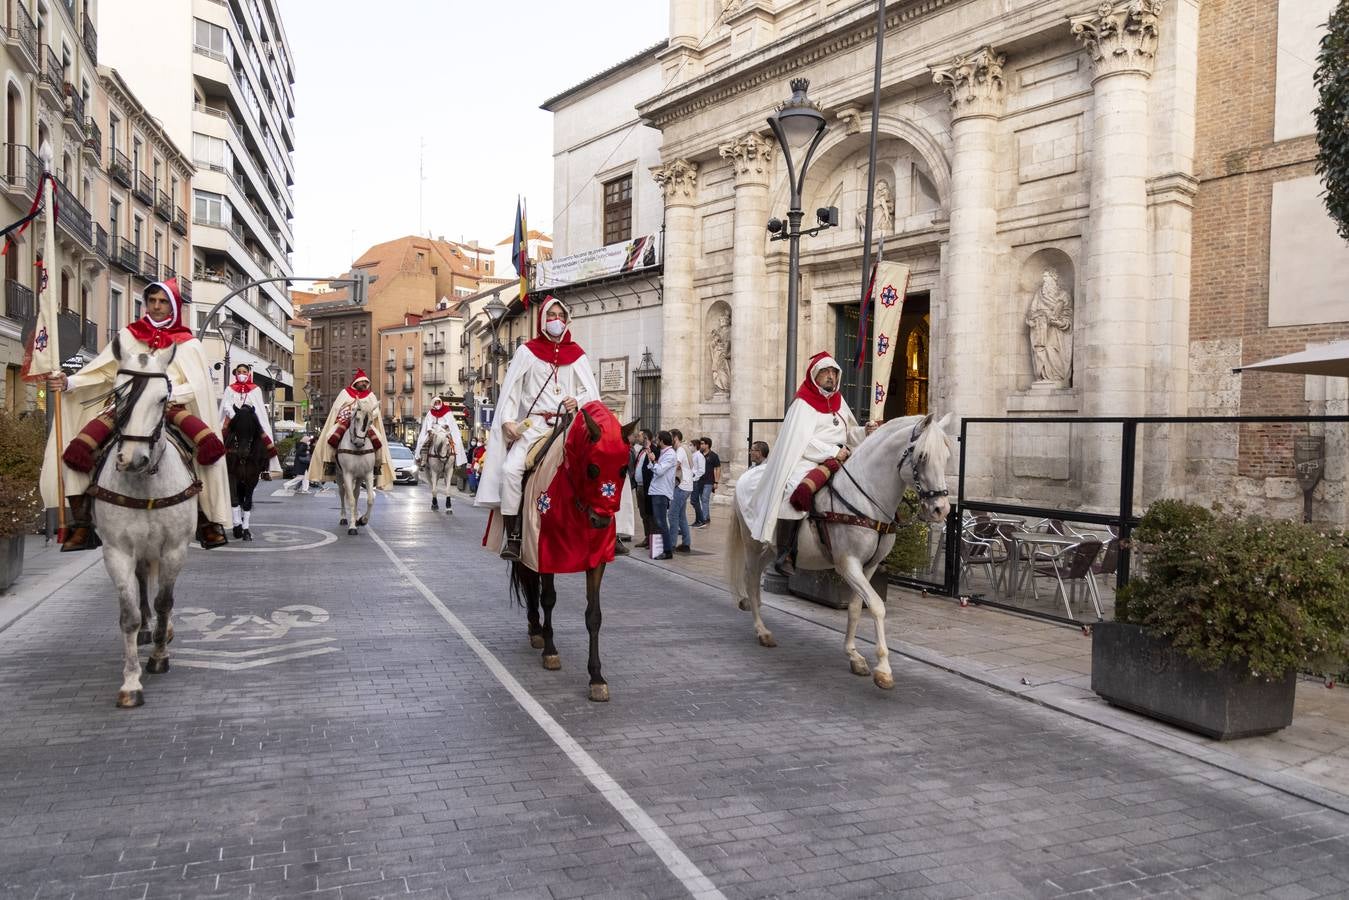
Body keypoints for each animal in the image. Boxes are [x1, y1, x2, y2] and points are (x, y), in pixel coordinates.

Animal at [92, 341, 199, 707]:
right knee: (141, 583)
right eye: (117, 393)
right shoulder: (117, 551)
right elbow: (129, 616)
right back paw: (147, 630)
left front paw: (159, 658)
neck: (147, 485)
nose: (133, 459)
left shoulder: (175, 549)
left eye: (163, 398)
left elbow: (165, 602)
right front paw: (130, 683)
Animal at [334, 404, 377, 539]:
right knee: (342, 493)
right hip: (339, 475)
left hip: (358, 477)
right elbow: (351, 500)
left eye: (371, 421)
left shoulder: (368, 474)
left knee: (356, 493)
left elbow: (370, 499)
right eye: (357, 418)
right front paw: (352, 526)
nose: (359, 442)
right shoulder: (347, 474)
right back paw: (343, 517)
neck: (357, 449)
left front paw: (362, 520)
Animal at [728, 412, 960, 690]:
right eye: (923, 456)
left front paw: (854, 656)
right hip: (752, 543)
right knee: (751, 580)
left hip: (770, 548)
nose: (940, 509)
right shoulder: (847, 564)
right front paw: (883, 669)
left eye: (946, 456)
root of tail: (748, 474)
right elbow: (877, 606)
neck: (867, 498)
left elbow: (856, 608)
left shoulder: (869, 567)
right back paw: (762, 631)